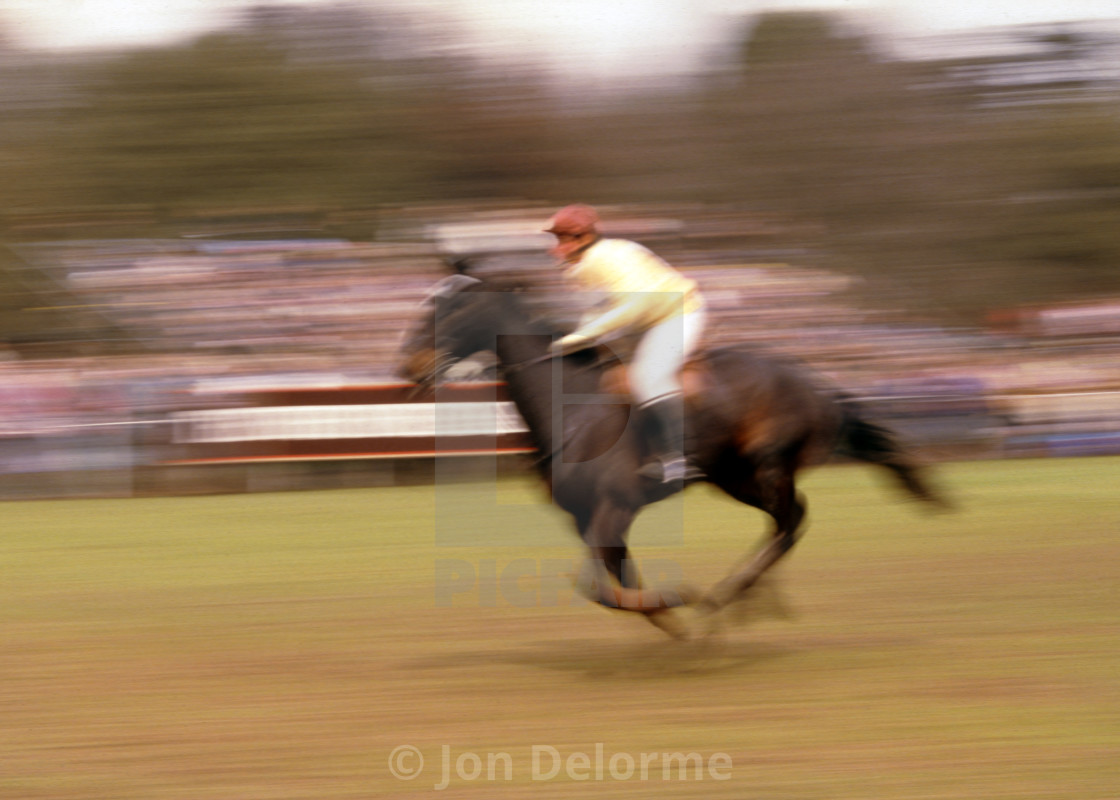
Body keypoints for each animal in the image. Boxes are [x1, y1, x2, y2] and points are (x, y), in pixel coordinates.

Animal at [396, 274, 945, 636]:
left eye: (448, 312)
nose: (409, 365)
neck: (570, 409)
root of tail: (820, 385)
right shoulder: (587, 519)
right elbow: (616, 584)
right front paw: (669, 619)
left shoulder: (613, 509)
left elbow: (601, 589)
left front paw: (682, 601)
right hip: (734, 477)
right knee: (789, 520)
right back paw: (749, 599)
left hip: (767, 464)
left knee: (790, 522)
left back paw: (730, 596)